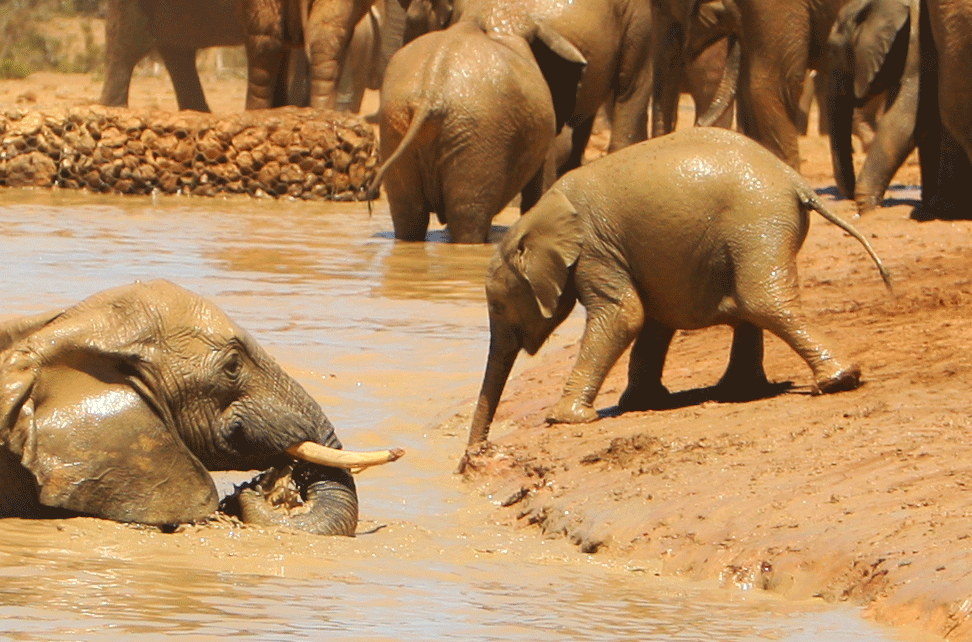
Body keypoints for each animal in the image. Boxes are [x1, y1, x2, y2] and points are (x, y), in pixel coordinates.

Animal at [465, 127, 892, 448]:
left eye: (498, 306)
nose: (474, 454)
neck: (537, 215)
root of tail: (795, 181)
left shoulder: (596, 250)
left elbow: (624, 315)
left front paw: (563, 419)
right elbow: (652, 319)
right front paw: (642, 403)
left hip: (757, 221)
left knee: (762, 301)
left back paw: (837, 381)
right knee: (748, 304)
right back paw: (739, 391)